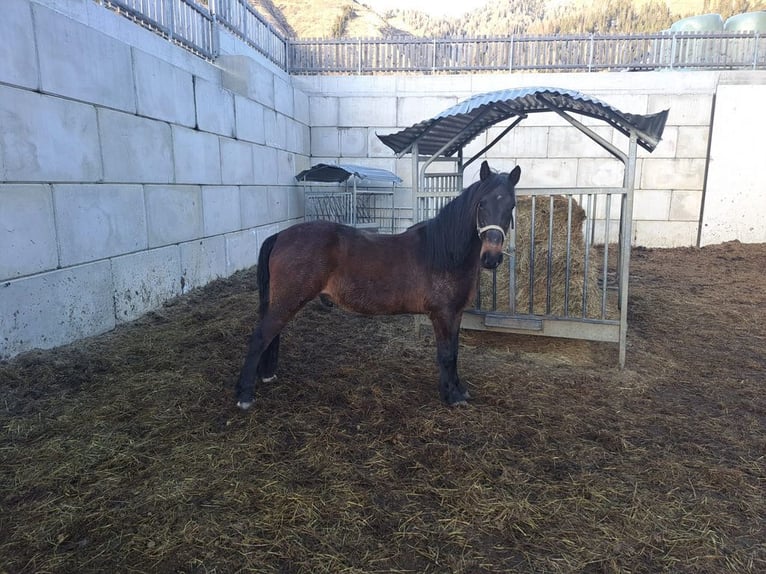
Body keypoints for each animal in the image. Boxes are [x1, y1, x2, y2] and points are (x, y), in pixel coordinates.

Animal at [236, 161, 520, 410]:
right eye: (481, 204)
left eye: (511, 206)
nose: (491, 257)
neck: (445, 252)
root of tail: (280, 235)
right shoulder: (442, 314)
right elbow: (446, 355)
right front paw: (452, 396)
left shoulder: (456, 314)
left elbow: (455, 352)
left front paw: (459, 390)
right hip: (288, 300)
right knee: (260, 336)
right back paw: (244, 396)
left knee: (271, 335)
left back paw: (266, 376)